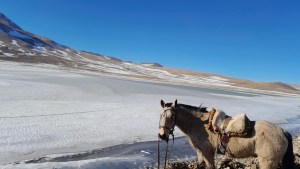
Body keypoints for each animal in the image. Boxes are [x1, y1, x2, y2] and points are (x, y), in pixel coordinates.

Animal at [158, 99, 294, 168]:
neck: (198, 123)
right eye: (161, 115)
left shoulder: (207, 152)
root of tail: (282, 131)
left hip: (267, 162)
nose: (162, 135)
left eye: (171, 116)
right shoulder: (200, 153)